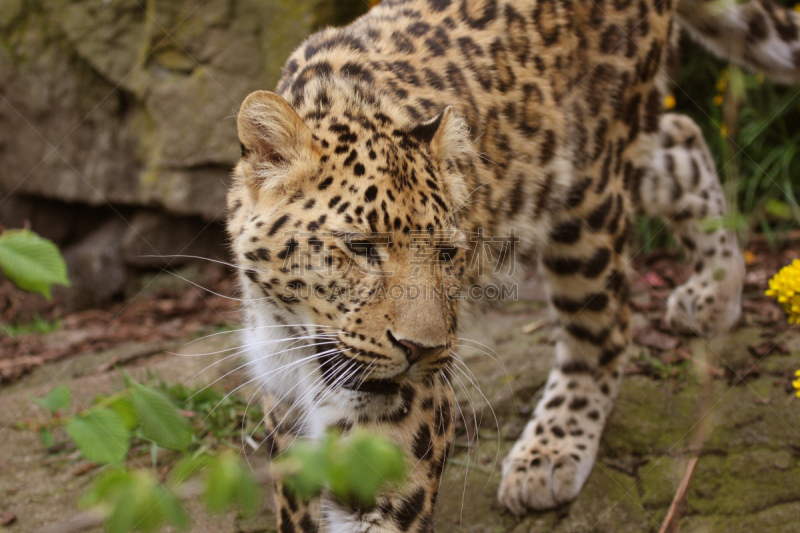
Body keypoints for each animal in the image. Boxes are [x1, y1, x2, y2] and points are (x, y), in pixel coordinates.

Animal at [223, 0, 800, 528]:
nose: (421, 350)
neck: (300, 343)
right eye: (362, 247)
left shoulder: (405, 419)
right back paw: (716, 293)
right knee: (682, 137)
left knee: (605, 329)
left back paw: (548, 454)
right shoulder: (288, 418)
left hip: (586, 192)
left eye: (448, 254)